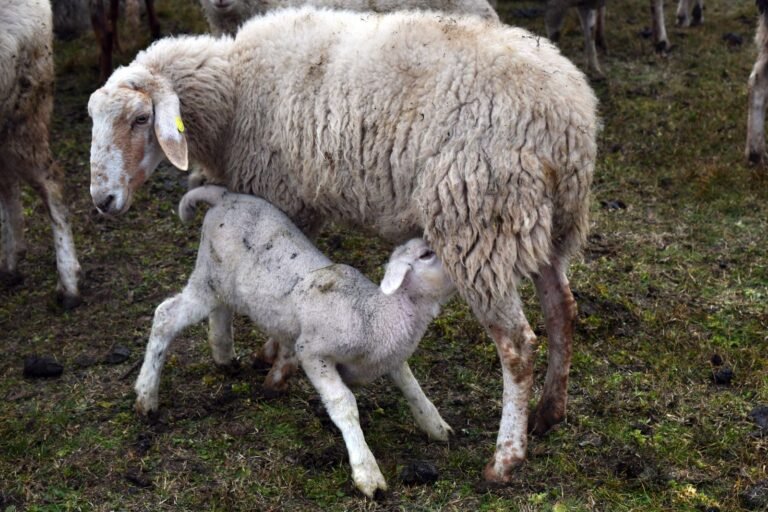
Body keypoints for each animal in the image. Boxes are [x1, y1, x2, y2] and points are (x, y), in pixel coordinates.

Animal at [135, 185, 455, 497]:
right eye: (426, 255)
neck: (374, 313)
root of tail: (224, 196)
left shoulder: (391, 357)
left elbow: (412, 387)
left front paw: (436, 426)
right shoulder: (313, 352)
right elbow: (344, 403)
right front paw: (367, 473)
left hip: (222, 286)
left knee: (220, 312)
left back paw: (224, 356)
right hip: (208, 279)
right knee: (165, 316)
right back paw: (146, 394)